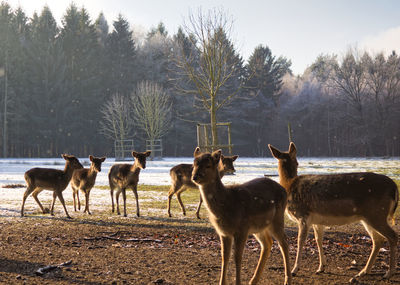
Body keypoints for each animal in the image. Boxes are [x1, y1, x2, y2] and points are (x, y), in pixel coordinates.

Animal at [191, 149, 290, 284]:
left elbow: (237, 257)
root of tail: (285, 190)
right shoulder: (224, 232)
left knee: (284, 242)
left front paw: (237, 282)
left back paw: (287, 280)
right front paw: (222, 282)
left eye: (208, 165)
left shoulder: (242, 229)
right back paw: (253, 280)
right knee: (267, 243)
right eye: (194, 164)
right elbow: (224, 257)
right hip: (260, 227)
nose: (195, 177)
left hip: (277, 219)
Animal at [268, 142, 396, 280]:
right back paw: (363, 271)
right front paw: (321, 267)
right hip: (368, 217)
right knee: (378, 240)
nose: (297, 164)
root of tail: (394, 188)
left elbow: (300, 241)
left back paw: (388, 273)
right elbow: (318, 240)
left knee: (392, 236)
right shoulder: (316, 221)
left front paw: (295, 270)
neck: (289, 185)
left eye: (297, 162)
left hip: (377, 213)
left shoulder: (303, 215)